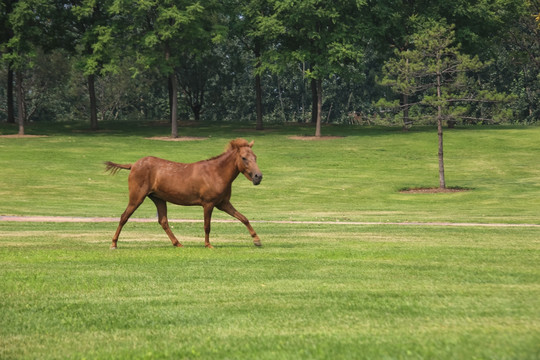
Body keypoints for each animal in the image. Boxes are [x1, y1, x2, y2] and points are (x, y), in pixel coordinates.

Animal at [104, 139, 262, 249]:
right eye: (244, 158)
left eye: (255, 157)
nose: (258, 176)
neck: (216, 173)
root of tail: (133, 165)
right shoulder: (208, 204)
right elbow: (207, 226)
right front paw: (208, 245)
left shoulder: (223, 204)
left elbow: (244, 218)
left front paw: (257, 240)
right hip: (137, 198)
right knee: (124, 217)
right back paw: (113, 244)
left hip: (158, 199)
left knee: (163, 221)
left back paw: (178, 243)